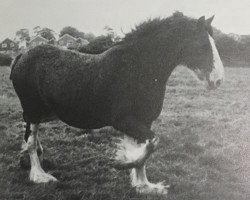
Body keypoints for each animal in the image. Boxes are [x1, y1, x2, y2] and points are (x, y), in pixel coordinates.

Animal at [10, 11, 225, 195]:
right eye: (203, 45)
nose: (218, 80)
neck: (138, 69)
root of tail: (22, 55)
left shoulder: (144, 121)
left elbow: (146, 148)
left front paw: (144, 185)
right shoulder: (123, 121)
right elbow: (152, 143)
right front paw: (124, 163)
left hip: (45, 113)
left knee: (28, 133)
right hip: (33, 110)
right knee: (30, 140)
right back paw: (39, 175)